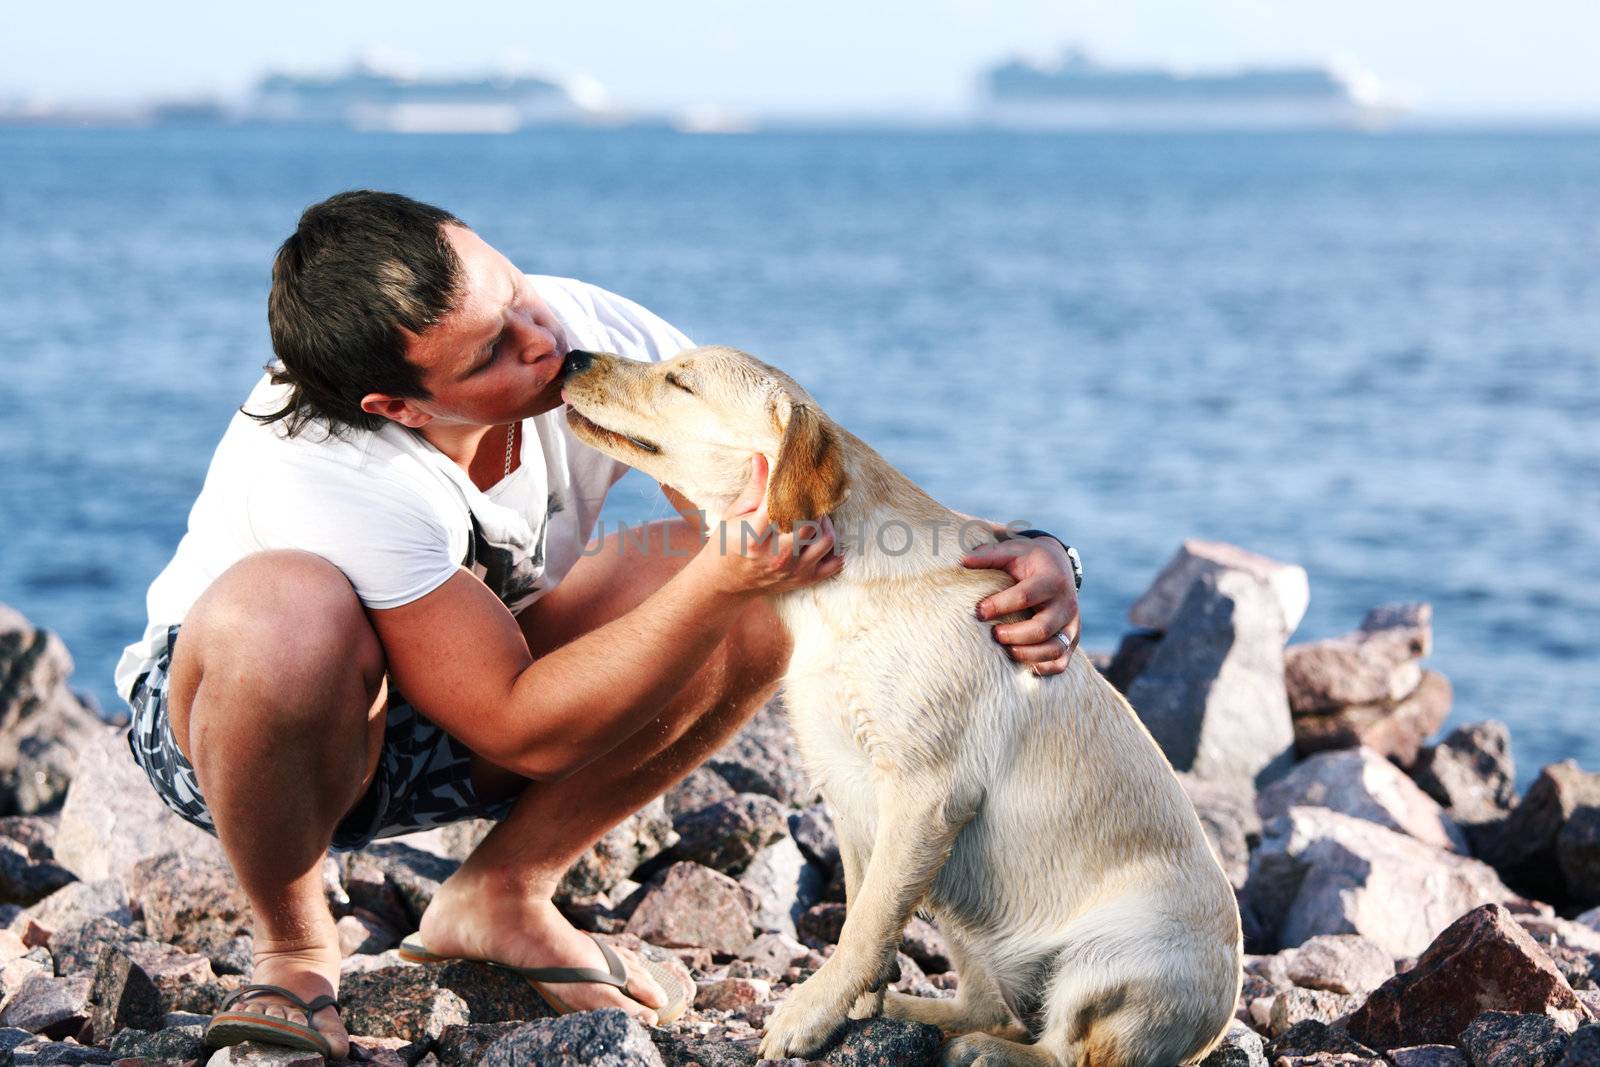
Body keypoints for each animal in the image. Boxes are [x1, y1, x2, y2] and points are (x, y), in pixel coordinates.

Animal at [563, 347, 1248, 1062]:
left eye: (680, 381)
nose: (574, 356)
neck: (837, 591)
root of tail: (1212, 1028)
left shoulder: (926, 792)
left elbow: (865, 922)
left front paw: (810, 1014)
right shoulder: (850, 790)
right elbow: (865, 912)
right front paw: (855, 1004)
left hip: (1112, 955)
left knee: (1066, 1051)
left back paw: (986, 1049)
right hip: (963, 912)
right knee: (988, 1007)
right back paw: (922, 1014)